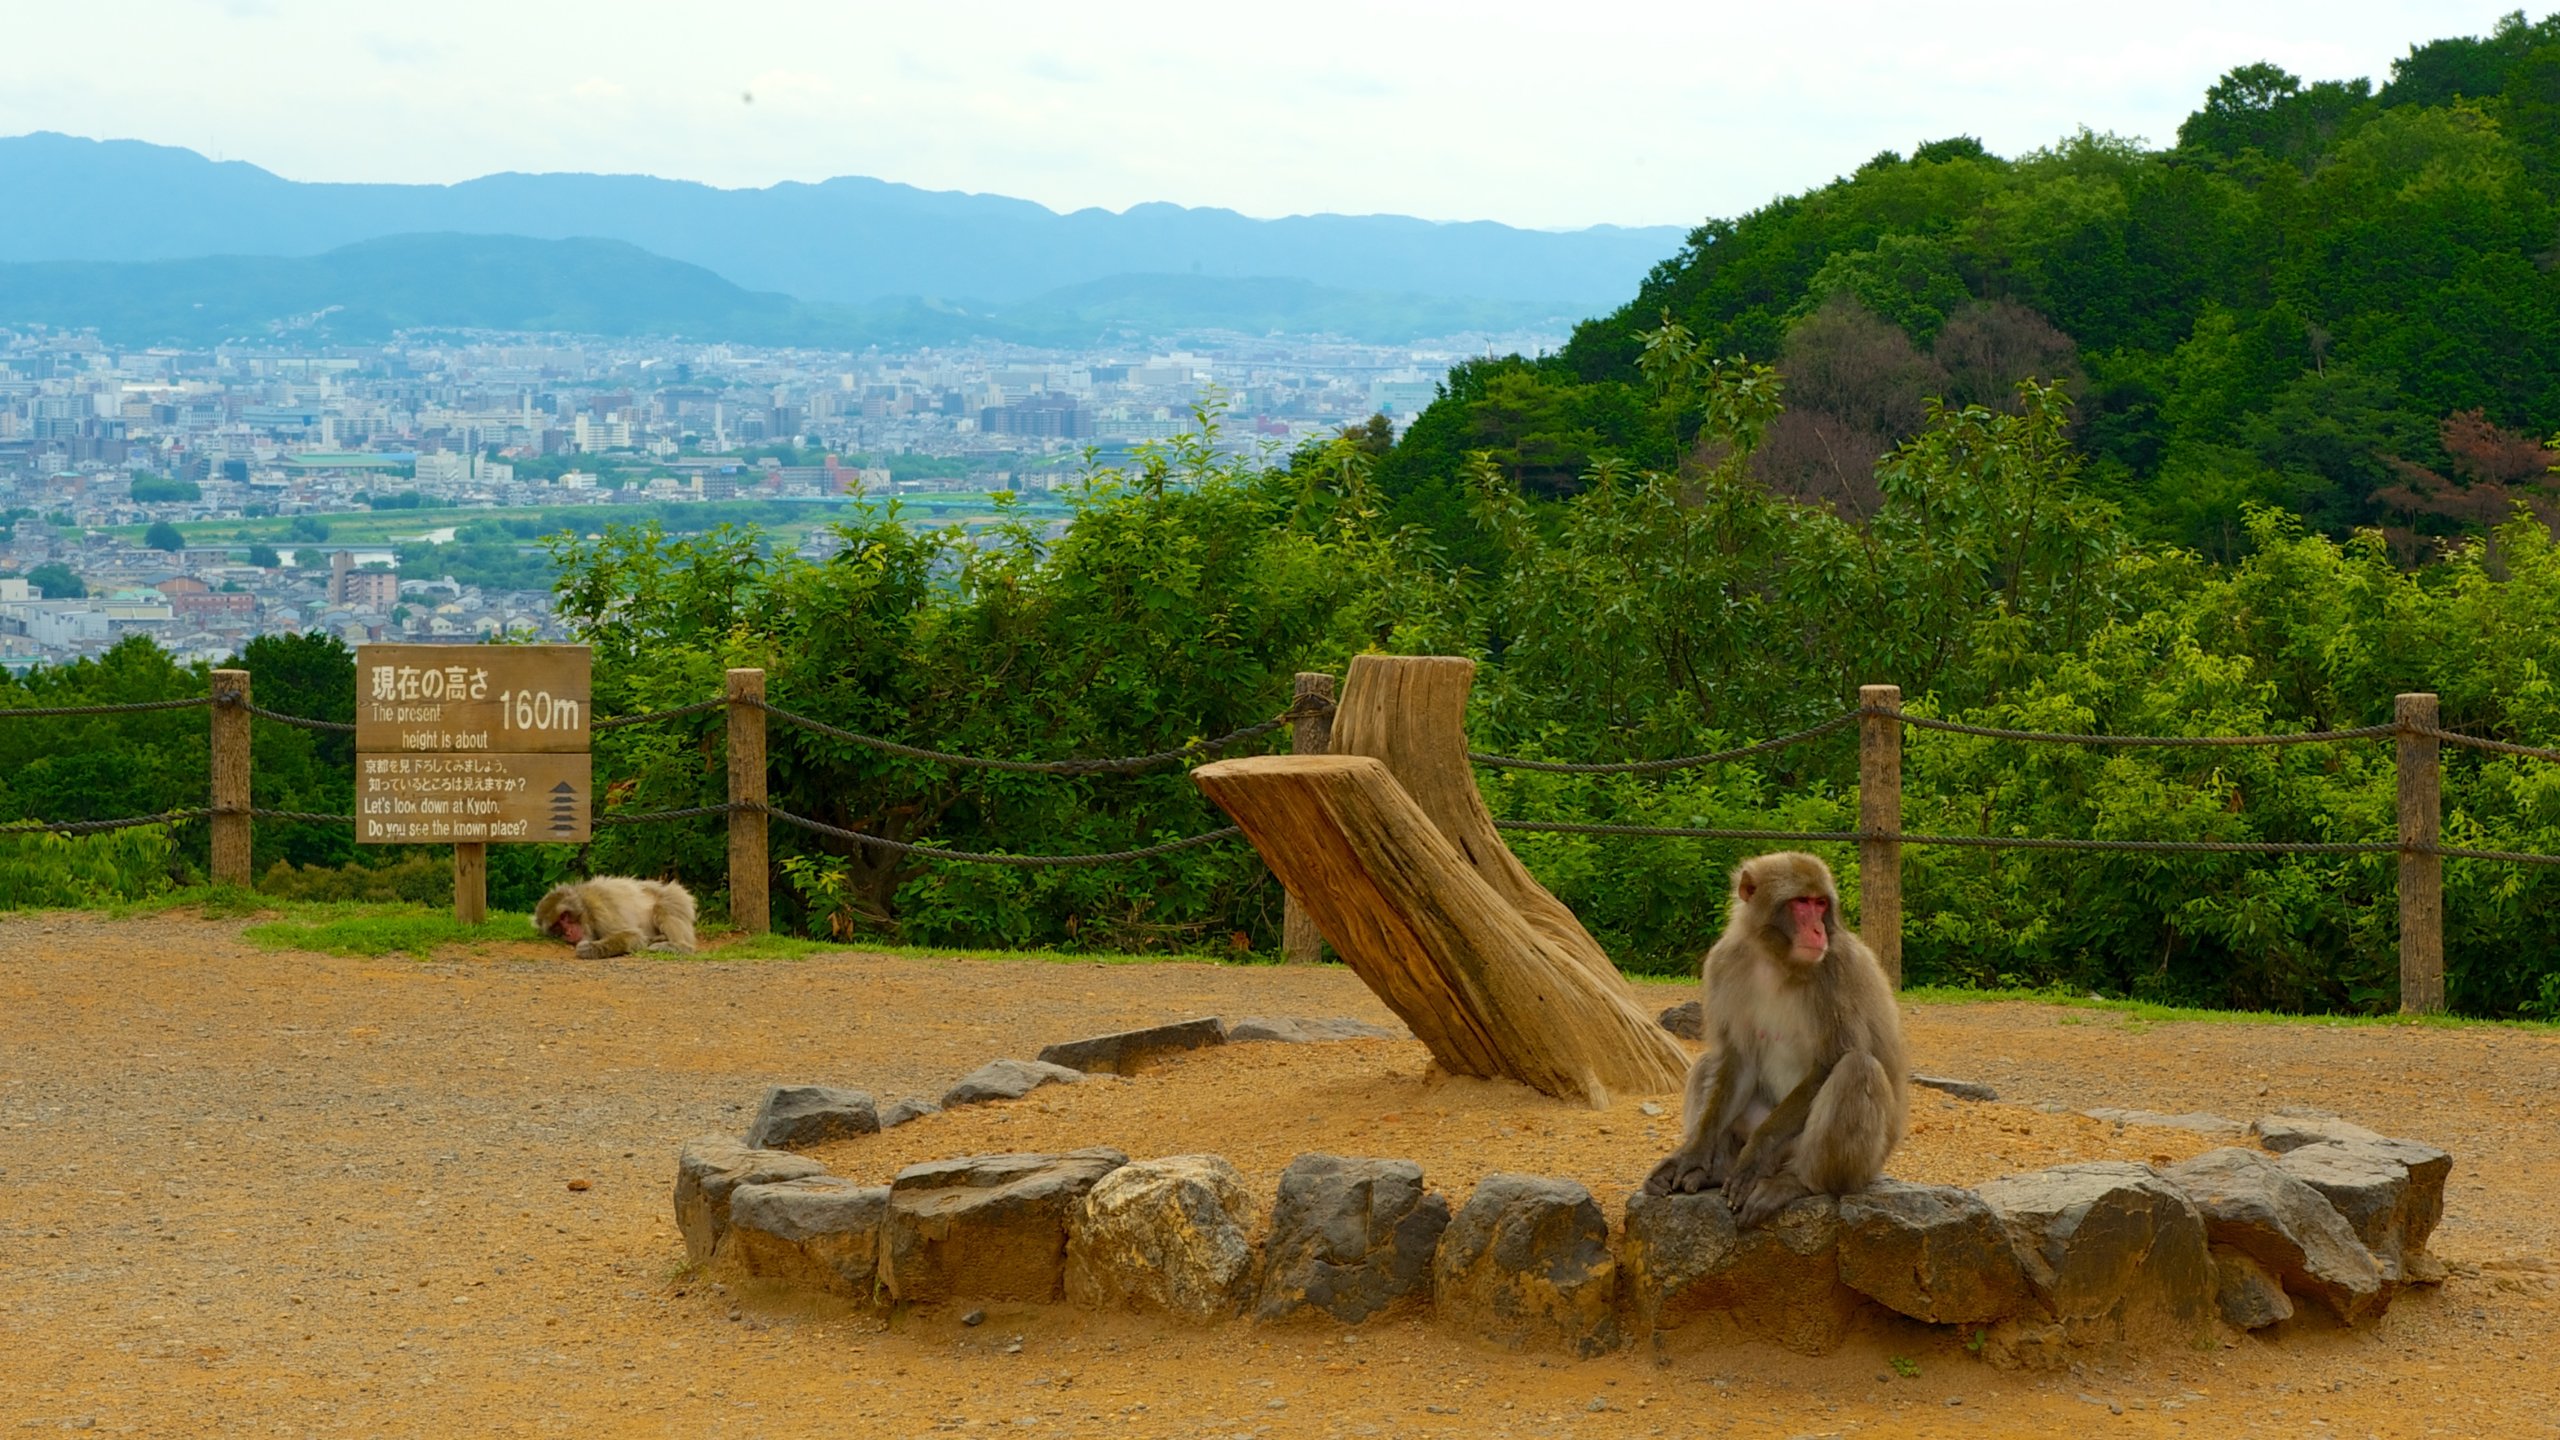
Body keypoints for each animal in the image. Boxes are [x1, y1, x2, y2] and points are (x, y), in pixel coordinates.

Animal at [529, 876, 696, 953]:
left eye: (564, 916)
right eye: (556, 926)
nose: (568, 932)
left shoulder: (601, 908)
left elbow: (633, 935)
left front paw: (591, 949)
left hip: (676, 897)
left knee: (663, 908)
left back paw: (680, 946)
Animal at [1648, 845, 1914, 1229]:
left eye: (1821, 903)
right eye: (1801, 902)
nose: (1818, 930)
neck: (1775, 959)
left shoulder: (1836, 969)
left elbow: (1830, 1061)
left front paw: (1755, 1155)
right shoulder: (1723, 962)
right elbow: (1737, 1058)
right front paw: (1694, 1156)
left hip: (1850, 1161)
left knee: (1857, 1068)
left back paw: (1797, 1182)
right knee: (1708, 1061)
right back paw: (1716, 1170)